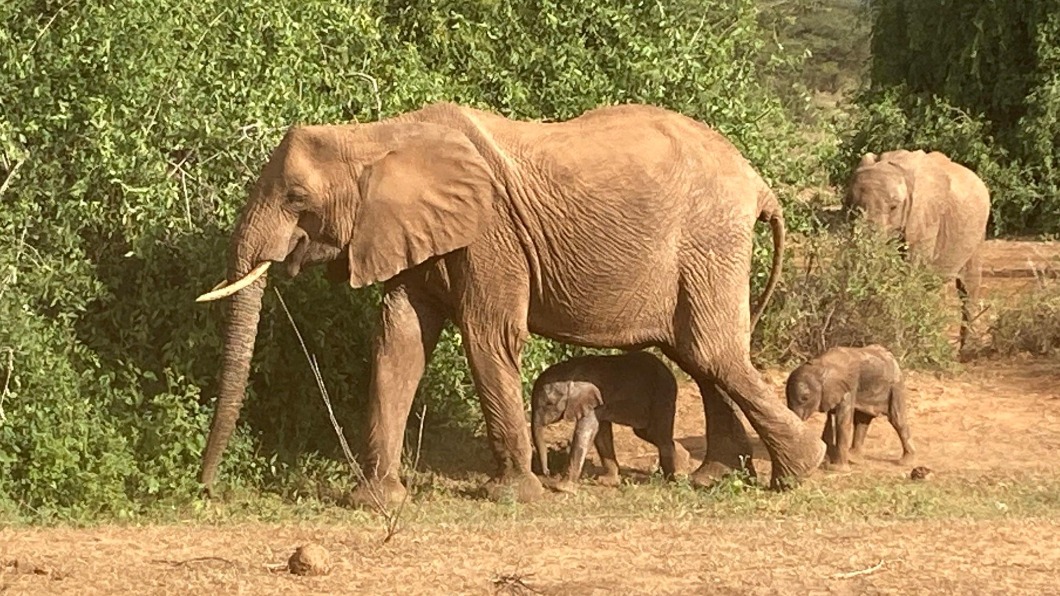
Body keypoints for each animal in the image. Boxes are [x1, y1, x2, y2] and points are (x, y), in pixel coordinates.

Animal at [530, 351, 691, 493]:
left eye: (549, 404)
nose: (547, 472)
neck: (570, 371)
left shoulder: (592, 403)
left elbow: (585, 432)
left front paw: (563, 488)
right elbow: (601, 434)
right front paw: (607, 482)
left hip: (663, 395)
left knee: (659, 435)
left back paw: (670, 480)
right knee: (648, 433)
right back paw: (681, 461)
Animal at [785, 344, 915, 471]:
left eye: (805, 398)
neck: (820, 366)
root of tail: (890, 356)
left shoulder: (848, 388)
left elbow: (842, 422)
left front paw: (836, 469)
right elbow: (831, 421)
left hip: (896, 384)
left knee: (897, 419)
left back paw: (905, 462)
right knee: (862, 421)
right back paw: (854, 458)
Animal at [845, 149, 991, 351]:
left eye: (893, 207)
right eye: (851, 207)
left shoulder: (925, 216)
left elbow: (912, 271)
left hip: (978, 231)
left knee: (968, 287)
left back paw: (966, 350)